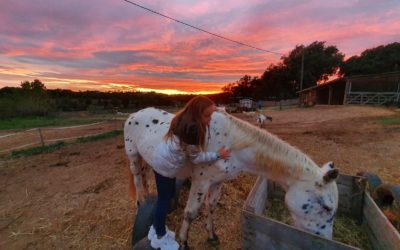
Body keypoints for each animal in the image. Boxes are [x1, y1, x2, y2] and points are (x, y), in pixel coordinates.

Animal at [123, 107, 340, 248]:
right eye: (326, 207)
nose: (324, 239)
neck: (233, 142)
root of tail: (135, 114)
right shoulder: (201, 181)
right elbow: (191, 213)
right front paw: (184, 243)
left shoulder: (217, 181)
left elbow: (211, 206)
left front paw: (211, 235)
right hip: (133, 156)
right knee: (137, 178)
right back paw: (140, 203)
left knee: (145, 177)